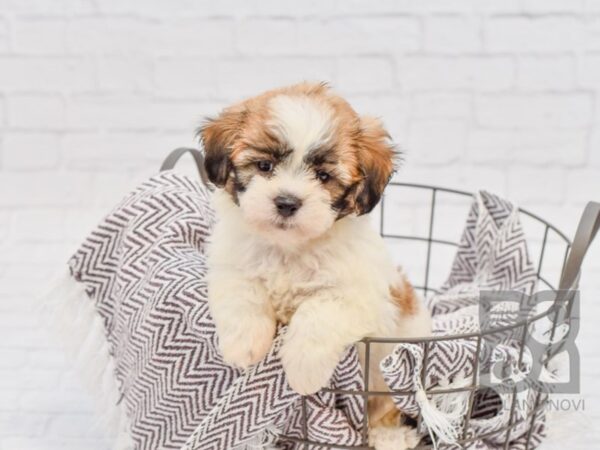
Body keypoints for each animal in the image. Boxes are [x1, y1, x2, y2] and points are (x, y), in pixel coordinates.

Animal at [202, 82, 432, 448]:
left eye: (323, 176)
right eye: (264, 166)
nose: (286, 202)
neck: (290, 249)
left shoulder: (358, 296)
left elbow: (318, 315)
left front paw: (303, 371)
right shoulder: (232, 263)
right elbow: (242, 294)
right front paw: (244, 346)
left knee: (386, 409)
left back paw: (391, 436)